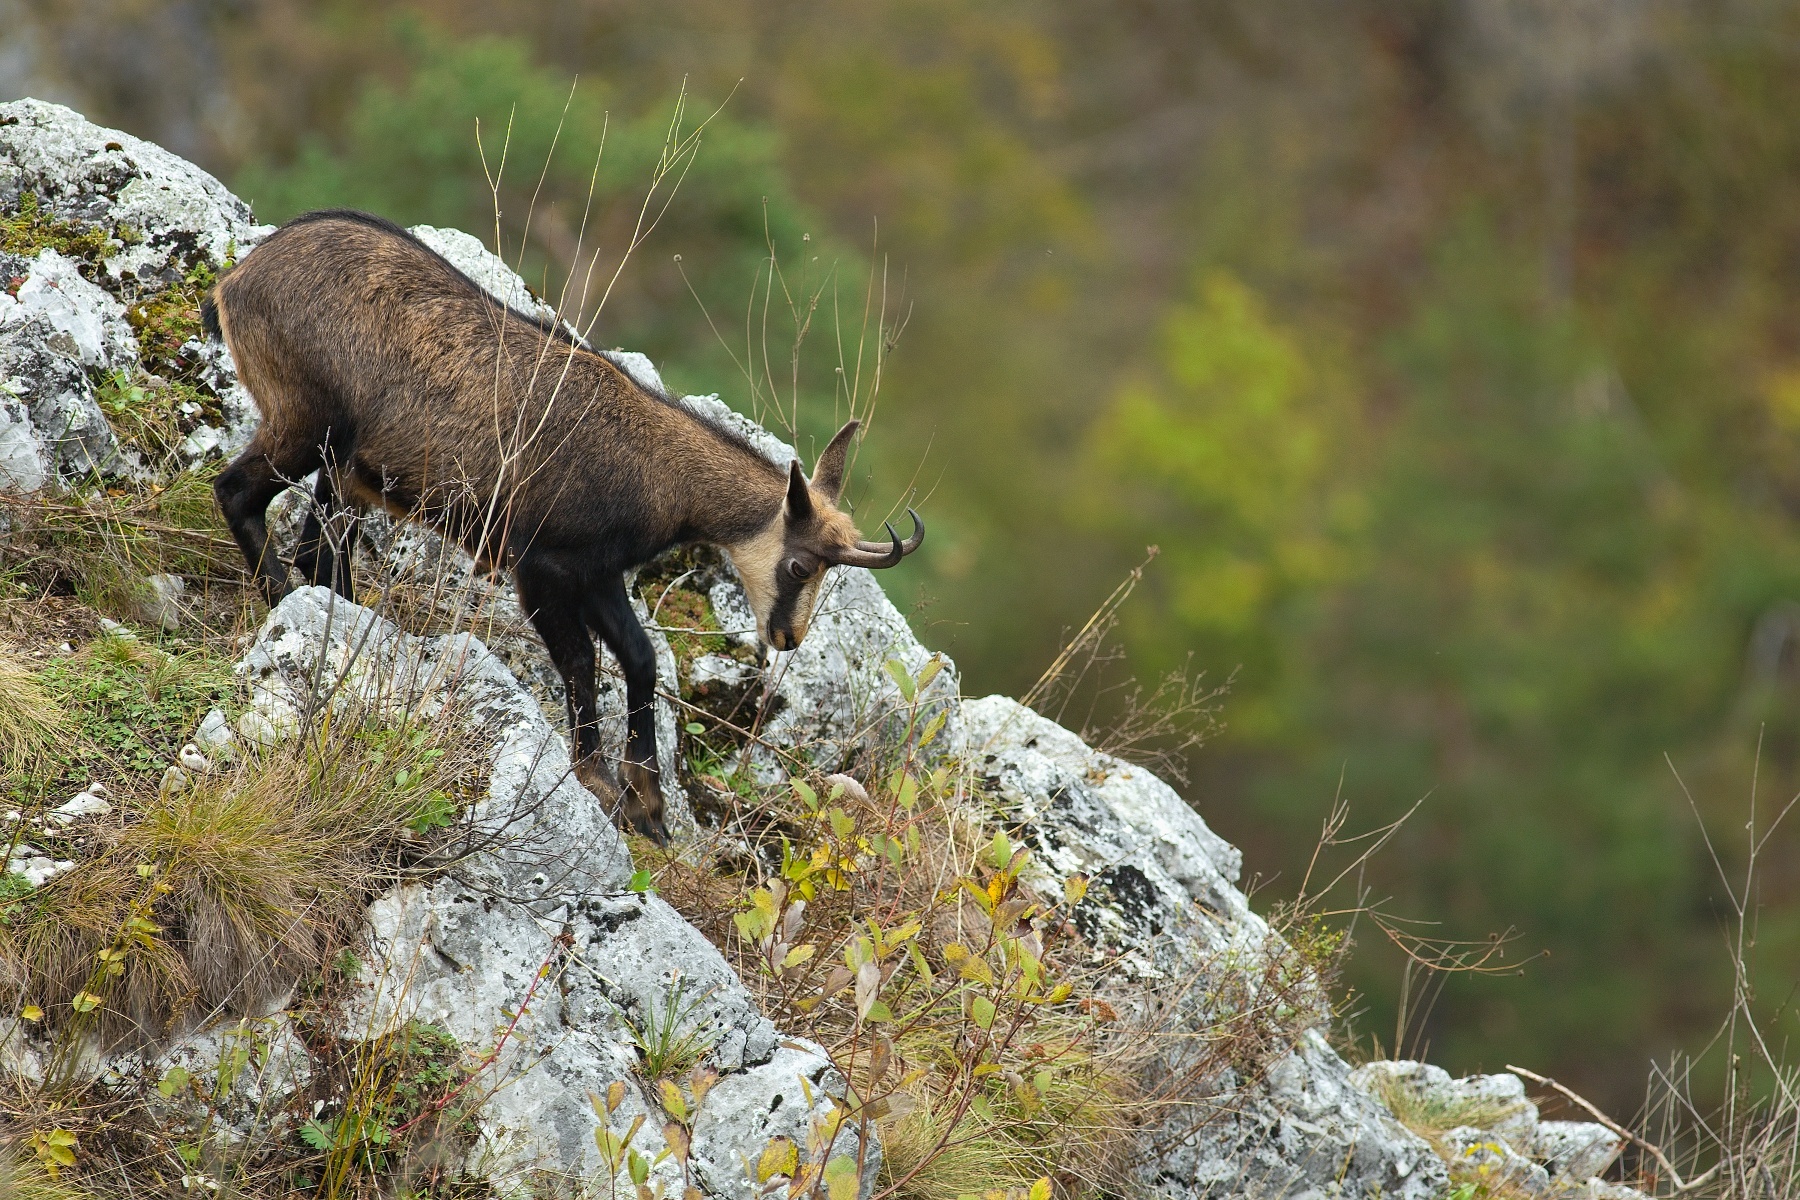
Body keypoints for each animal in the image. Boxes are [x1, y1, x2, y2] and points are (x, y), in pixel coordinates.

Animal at [203, 209, 922, 845]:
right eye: (801, 565)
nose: (788, 637)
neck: (656, 472)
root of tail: (236, 280)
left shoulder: (597, 574)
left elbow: (639, 656)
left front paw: (649, 806)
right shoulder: (542, 565)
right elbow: (581, 661)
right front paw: (599, 778)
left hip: (345, 470)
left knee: (318, 550)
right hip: (307, 422)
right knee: (238, 494)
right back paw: (279, 598)